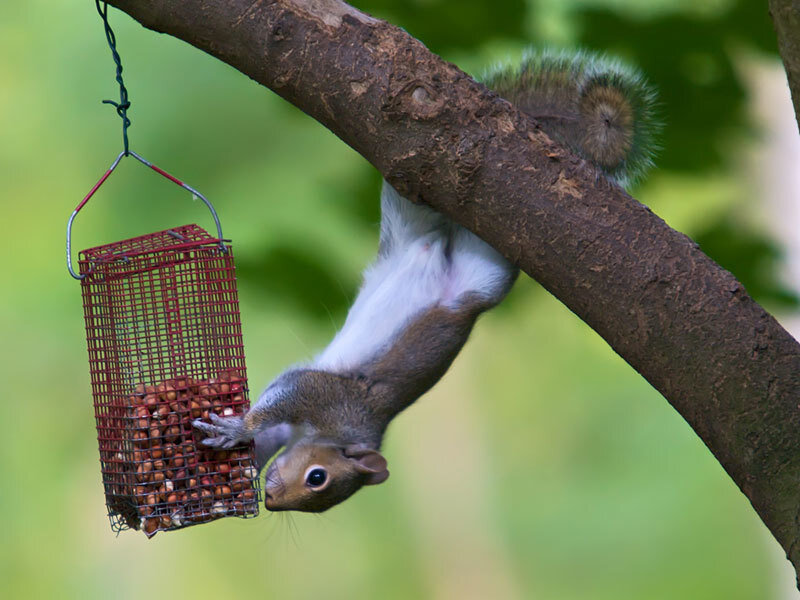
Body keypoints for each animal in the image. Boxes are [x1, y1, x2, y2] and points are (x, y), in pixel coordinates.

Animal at [193, 49, 659, 512]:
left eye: (318, 485)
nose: (272, 500)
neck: (344, 433)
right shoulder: (331, 399)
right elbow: (289, 394)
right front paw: (237, 432)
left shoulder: (325, 409)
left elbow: (275, 417)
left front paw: (235, 442)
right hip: (439, 211)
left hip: (474, 265)